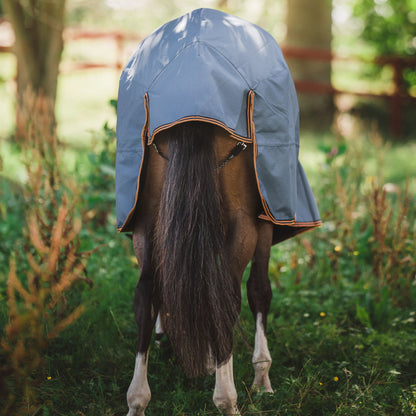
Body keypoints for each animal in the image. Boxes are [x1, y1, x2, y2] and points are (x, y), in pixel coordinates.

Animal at [127, 121, 276, 416]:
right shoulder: (263, 221)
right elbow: (259, 291)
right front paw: (262, 380)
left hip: (147, 219)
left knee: (146, 297)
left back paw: (137, 401)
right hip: (243, 227)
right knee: (228, 300)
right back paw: (228, 400)